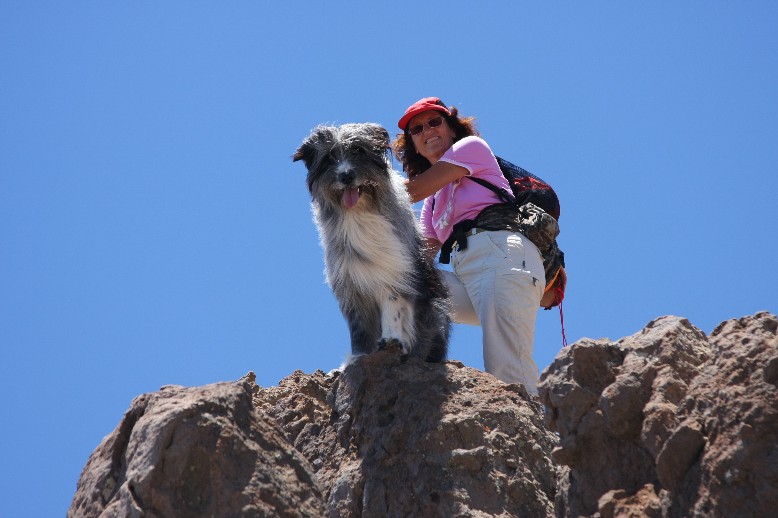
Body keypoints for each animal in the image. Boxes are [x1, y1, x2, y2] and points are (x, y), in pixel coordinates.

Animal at [292, 124, 448, 364]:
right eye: (328, 157)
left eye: (358, 150)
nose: (346, 175)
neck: (359, 213)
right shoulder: (351, 283)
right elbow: (360, 327)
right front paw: (358, 356)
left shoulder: (395, 269)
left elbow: (394, 306)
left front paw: (392, 341)